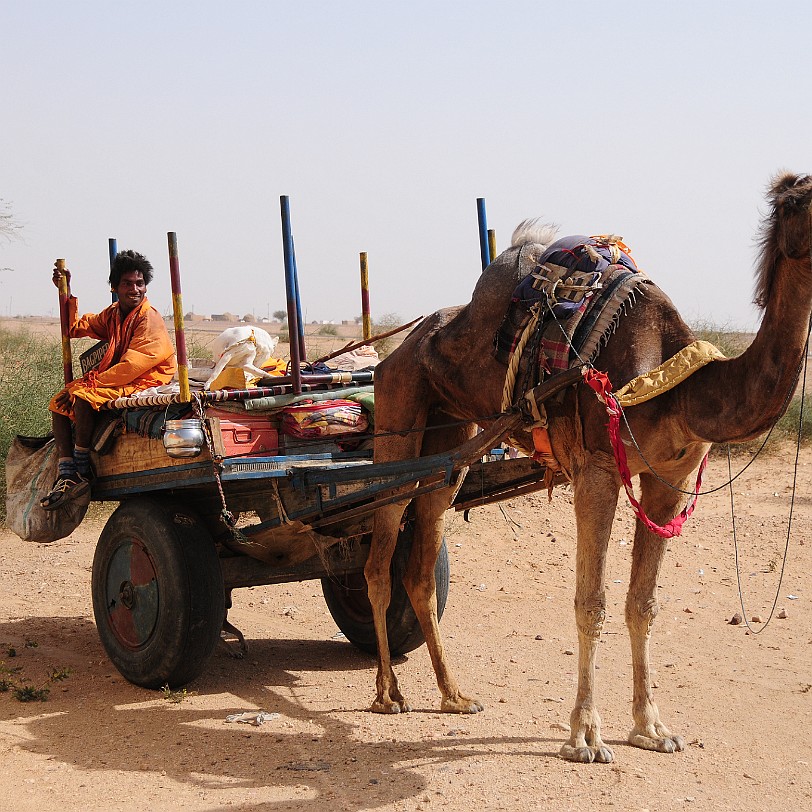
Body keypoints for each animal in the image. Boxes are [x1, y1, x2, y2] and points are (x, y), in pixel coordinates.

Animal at [368, 171, 812, 760]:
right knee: (379, 554)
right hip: (398, 411)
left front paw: (652, 728)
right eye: (804, 201)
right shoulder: (597, 467)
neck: (680, 386)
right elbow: (591, 601)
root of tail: (399, 346)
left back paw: (453, 694)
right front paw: (585, 736)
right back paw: (387, 693)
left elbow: (643, 604)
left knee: (421, 560)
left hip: (451, 440)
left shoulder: (669, 479)